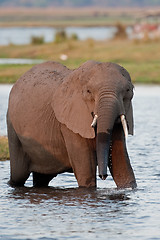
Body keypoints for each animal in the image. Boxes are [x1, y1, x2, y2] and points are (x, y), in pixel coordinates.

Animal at [6, 59, 137, 188]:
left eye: (128, 90)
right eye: (89, 91)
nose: (103, 176)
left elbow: (122, 167)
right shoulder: (68, 124)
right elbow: (86, 175)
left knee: (42, 178)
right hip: (12, 127)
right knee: (18, 175)